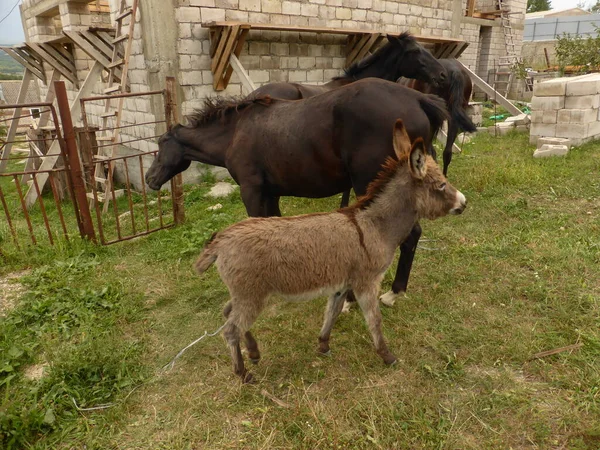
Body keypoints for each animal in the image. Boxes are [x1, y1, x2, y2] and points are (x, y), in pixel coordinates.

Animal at [144, 79, 446, 306]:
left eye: (161, 143)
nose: (149, 179)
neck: (236, 132)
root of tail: (418, 99)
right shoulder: (271, 193)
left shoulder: (252, 192)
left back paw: (379, 295)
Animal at [195, 120, 466, 384]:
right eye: (442, 184)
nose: (464, 202)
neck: (373, 226)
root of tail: (221, 241)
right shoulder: (367, 282)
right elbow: (374, 320)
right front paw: (387, 356)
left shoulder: (342, 284)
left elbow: (332, 312)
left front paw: (323, 344)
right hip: (252, 295)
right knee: (231, 329)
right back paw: (243, 374)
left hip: (246, 293)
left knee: (228, 312)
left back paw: (253, 352)